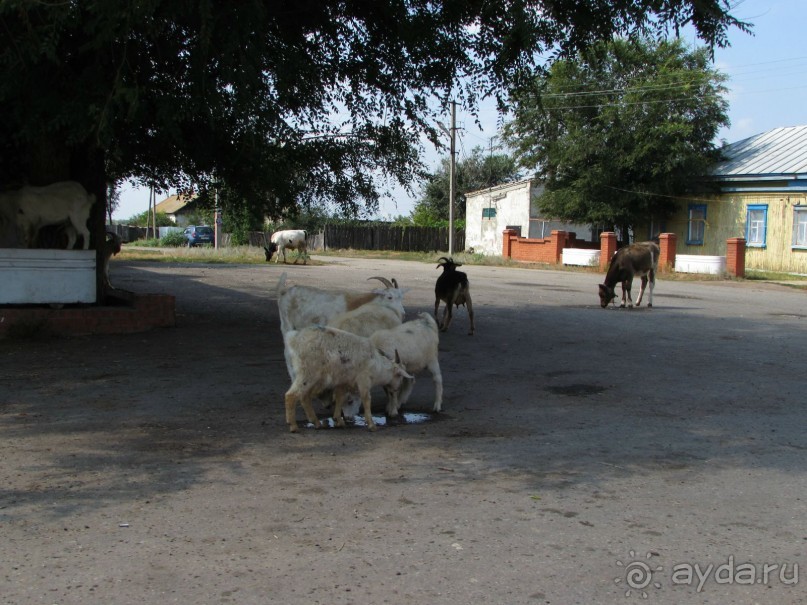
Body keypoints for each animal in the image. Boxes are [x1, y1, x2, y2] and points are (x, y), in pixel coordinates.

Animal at [284, 324, 414, 432]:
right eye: (400, 376)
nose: (396, 389)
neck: (377, 365)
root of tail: (294, 339)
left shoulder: (343, 381)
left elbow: (340, 398)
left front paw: (338, 421)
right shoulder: (364, 379)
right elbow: (366, 399)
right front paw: (371, 425)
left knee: (304, 397)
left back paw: (316, 423)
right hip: (308, 373)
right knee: (291, 395)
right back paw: (293, 426)